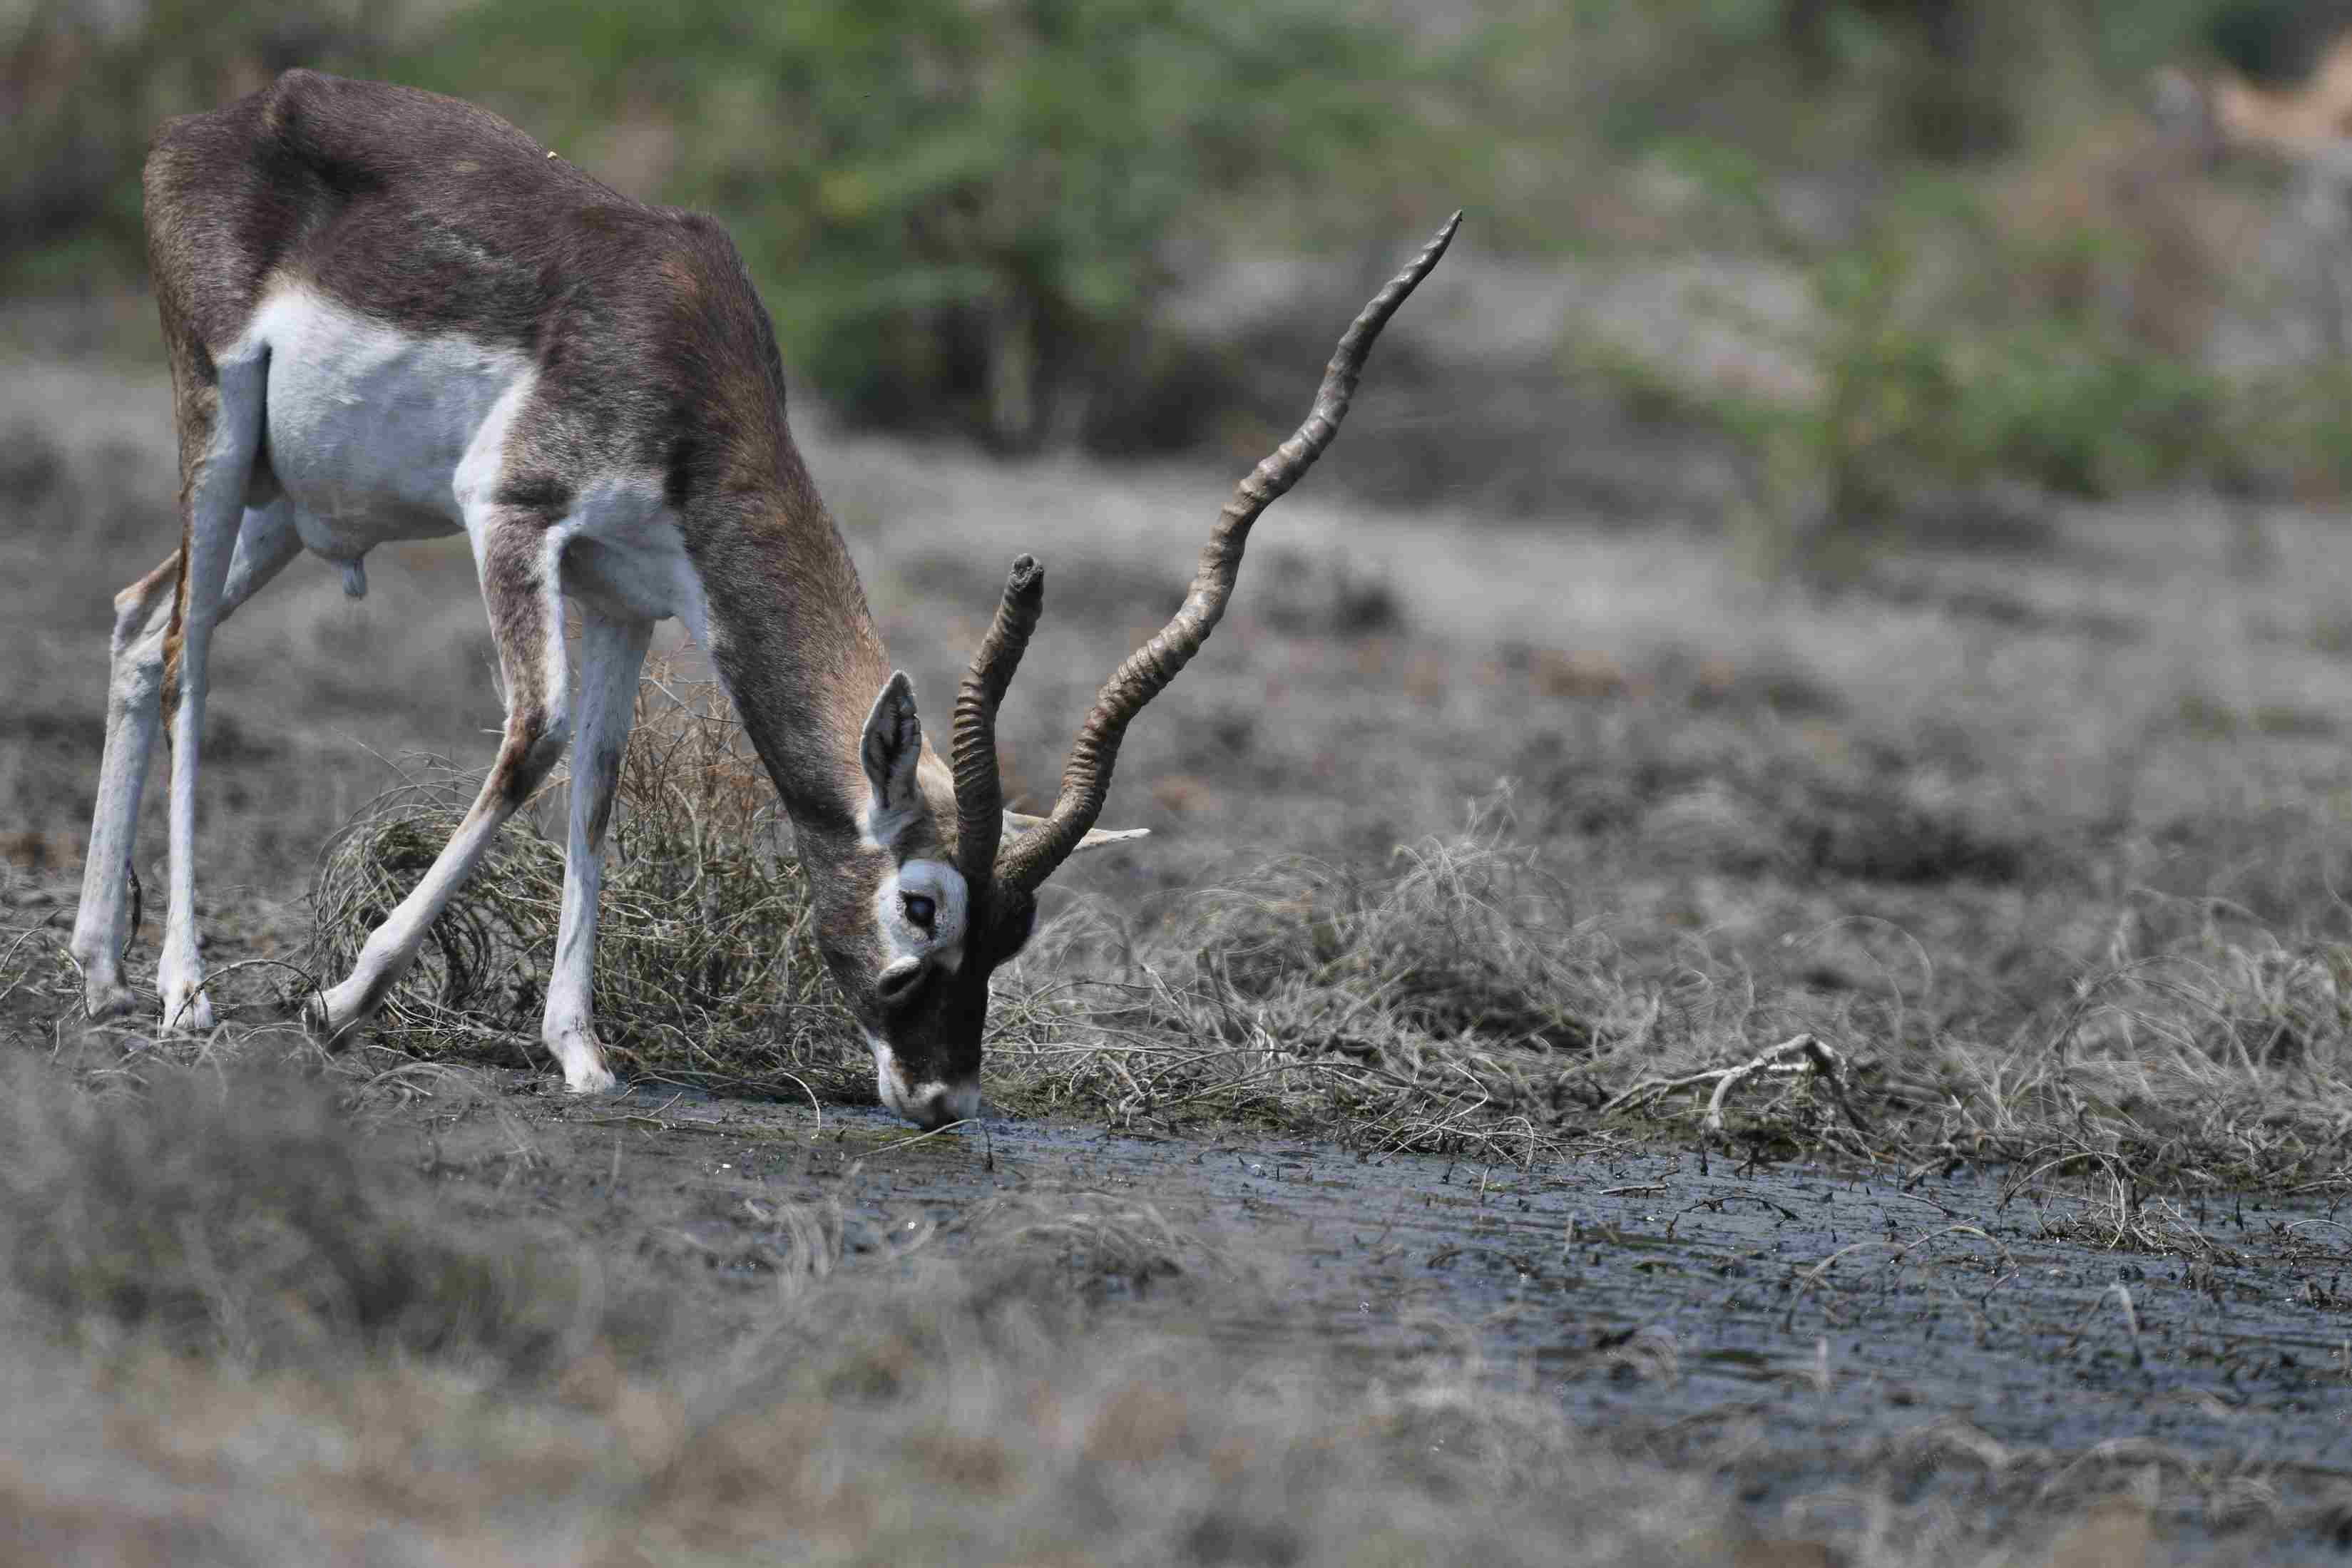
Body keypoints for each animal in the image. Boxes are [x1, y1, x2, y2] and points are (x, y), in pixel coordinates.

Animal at [68, 73, 1448, 1128]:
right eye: (921, 903)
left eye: (1016, 931)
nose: (941, 1096)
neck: (689, 357)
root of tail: (211, 120)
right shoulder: (513, 516)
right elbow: (534, 742)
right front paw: (339, 1002)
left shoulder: (626, 593)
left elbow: (599, 787)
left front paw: (581, 1053)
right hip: (219, 431)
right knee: (186, 655)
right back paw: (183, 990)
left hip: (286, 503)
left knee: (139, 620)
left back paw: (95, 968)